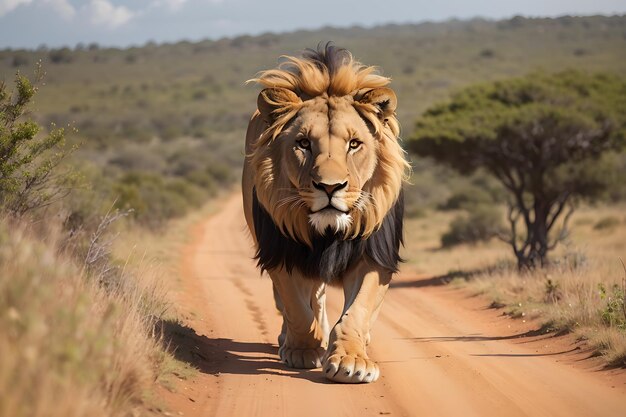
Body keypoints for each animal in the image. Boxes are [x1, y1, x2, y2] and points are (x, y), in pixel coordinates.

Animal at [240, 44, 410, 382]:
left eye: (354, 144)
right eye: (303, 143)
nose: (330, 187)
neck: (328, 232)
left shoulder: (373, 256)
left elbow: (358, 309)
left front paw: (352, 360)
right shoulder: (283, 250)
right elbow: (295, 306)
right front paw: (303, 350)